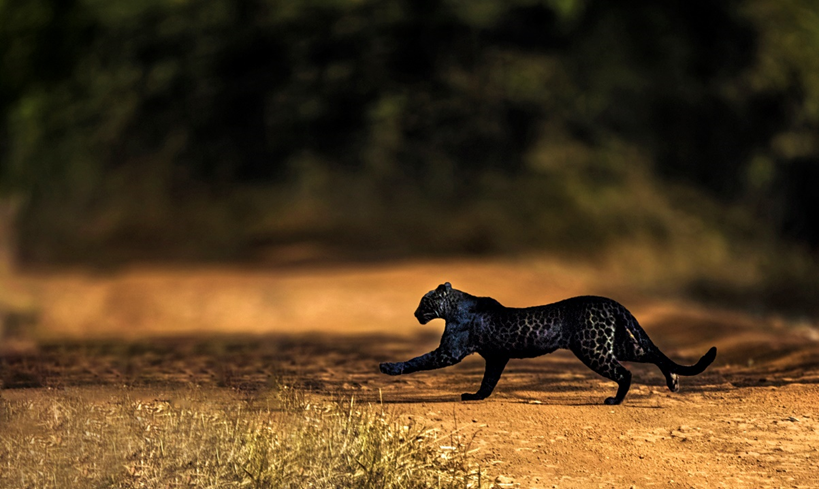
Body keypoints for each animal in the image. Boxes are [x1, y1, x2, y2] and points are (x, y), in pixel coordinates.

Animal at [380, 282, 716, 404]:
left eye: (424, 301)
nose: (415, 314)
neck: (453, 306)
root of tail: (609, 301)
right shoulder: (496, 358)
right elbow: (488, 381)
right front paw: (476, 397)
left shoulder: (449, 352)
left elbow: (417, 360)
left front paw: (388, 367)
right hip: (613, 343)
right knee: (648, 352)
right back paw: (673, 381)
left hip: (593, 348)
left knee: (626, 372)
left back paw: (615, 400)